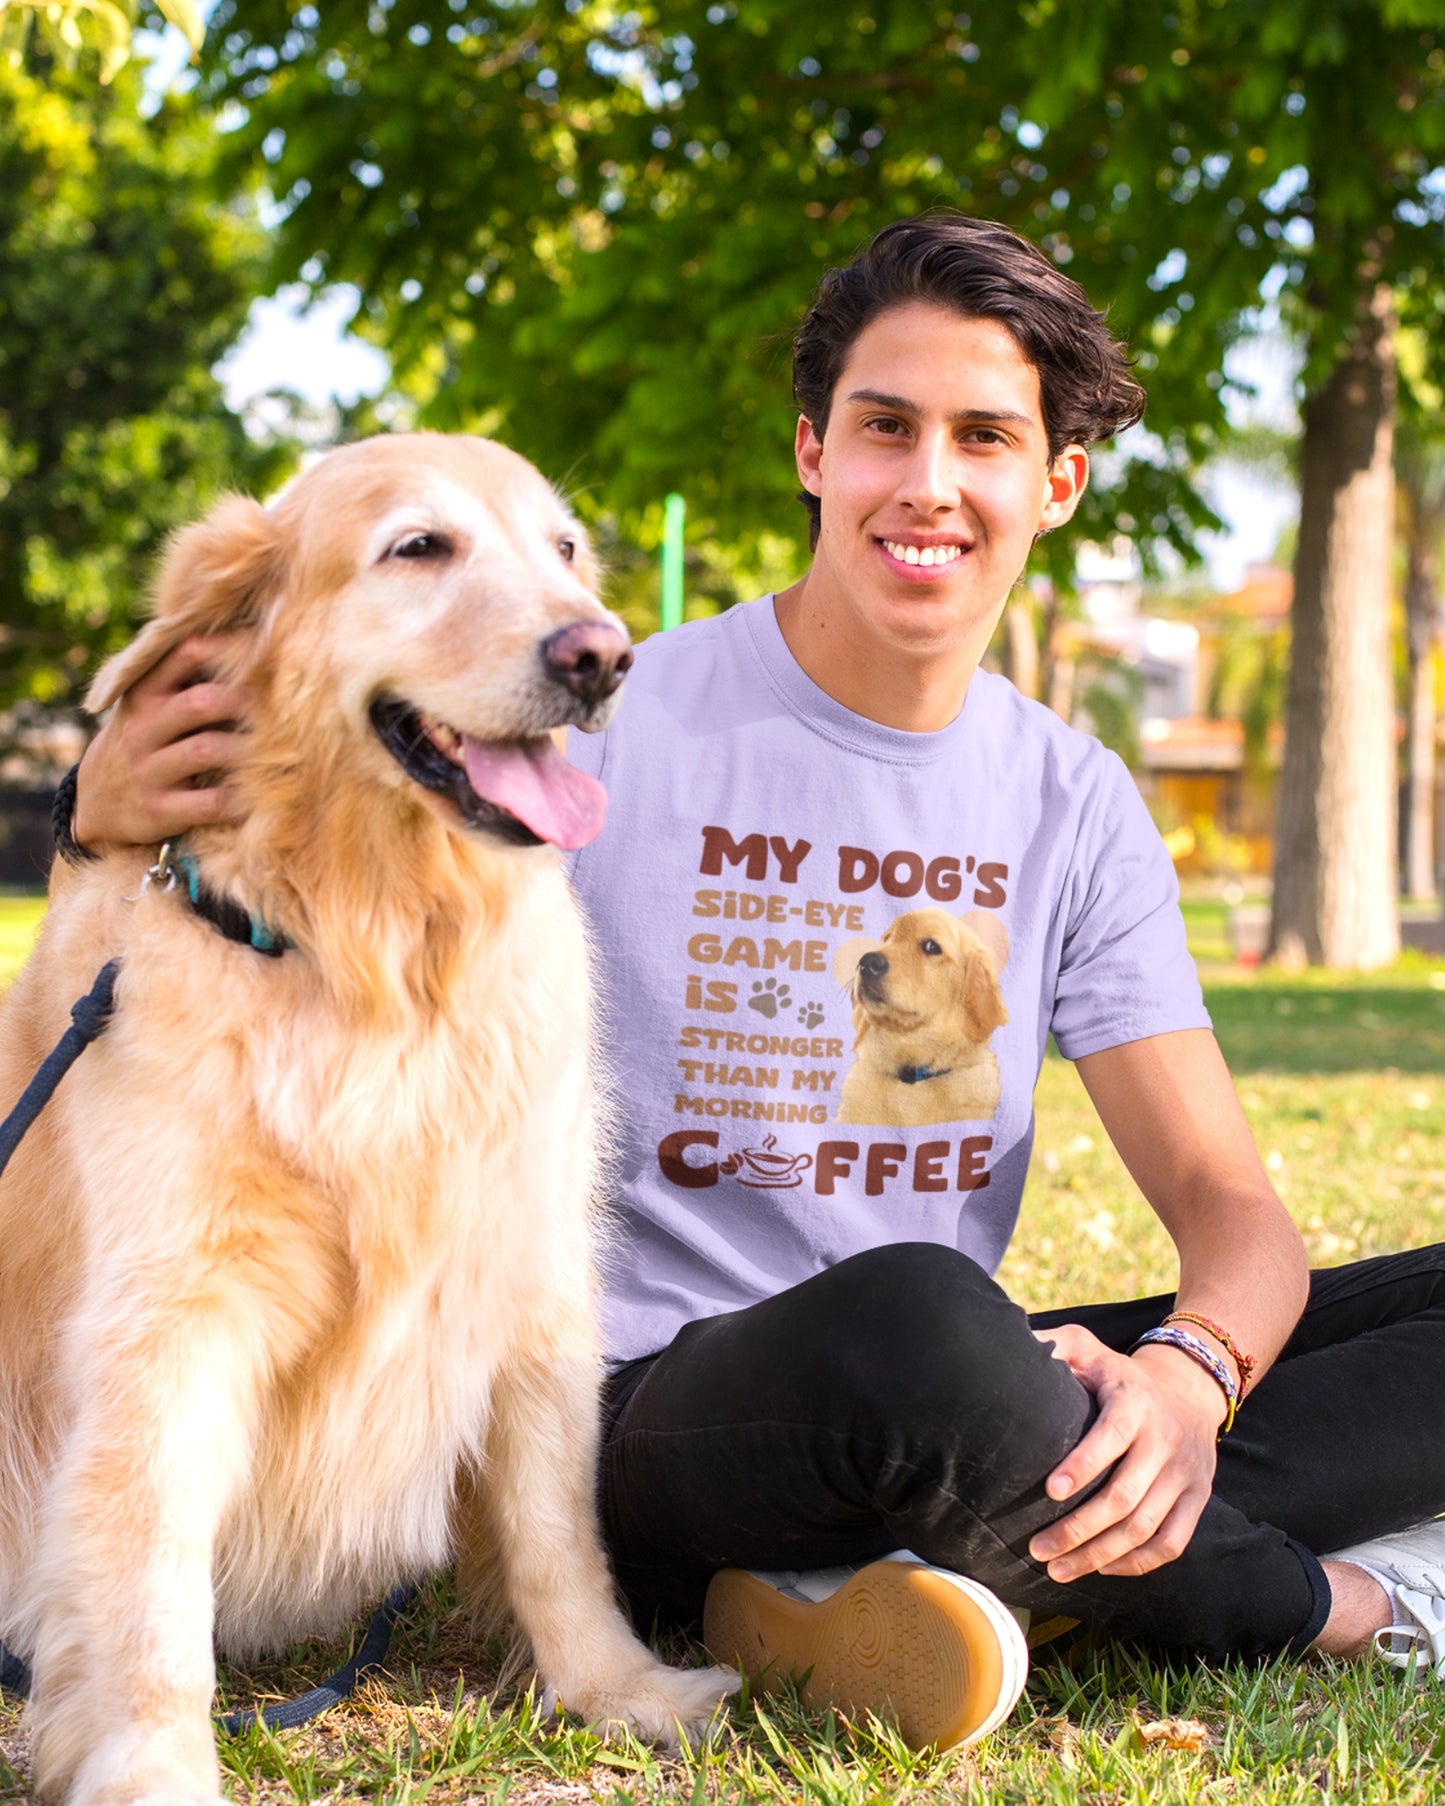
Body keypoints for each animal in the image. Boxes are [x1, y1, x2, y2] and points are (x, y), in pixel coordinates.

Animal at [0, 433, 729, 1806]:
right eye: (419, 547)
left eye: (564, 549)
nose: (600, 654)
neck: (377, 960)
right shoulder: (168, 1315)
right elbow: (148, 1588)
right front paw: (155, 1767)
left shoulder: (527, 1275)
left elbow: (557, 1534)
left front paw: (619, 1692)